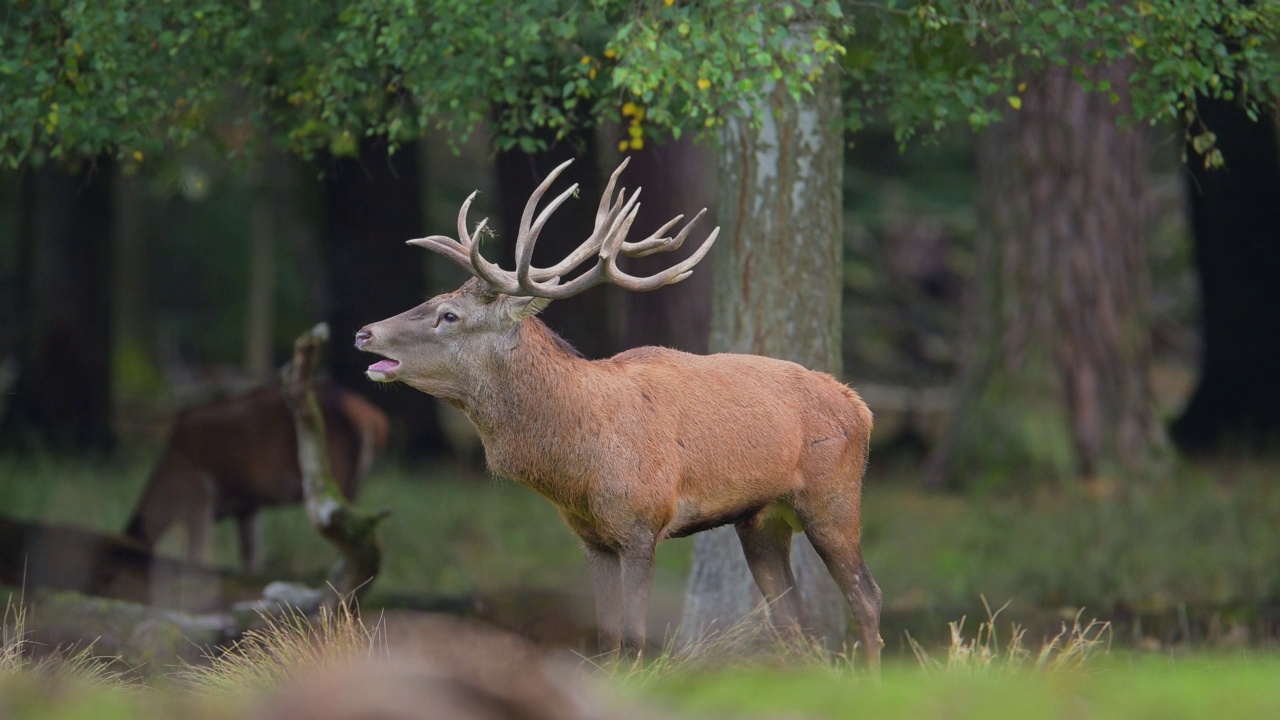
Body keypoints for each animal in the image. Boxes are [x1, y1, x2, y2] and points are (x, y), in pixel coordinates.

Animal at [124, 379, 386, 568]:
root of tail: (375, 420)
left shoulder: (200, 498)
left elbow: (197, 557)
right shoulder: (246, 505)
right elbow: (251, 556)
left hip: (336, 475)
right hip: (355, 481)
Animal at [355, 158, 885, 666]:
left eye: (449, 315)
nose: (364, 332)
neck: (576, 466)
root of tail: (861, 406)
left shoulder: (642, 522)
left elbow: (634, 638)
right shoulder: (592, 538)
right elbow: (607, 637)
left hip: (832, 496)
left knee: (866, 595)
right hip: (760, 519)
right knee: (792, 619)